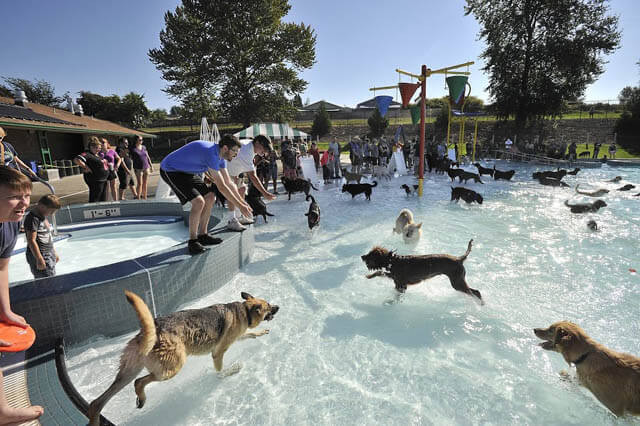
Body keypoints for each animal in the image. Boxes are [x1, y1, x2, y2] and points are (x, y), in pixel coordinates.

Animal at [89, 292, 278, 424]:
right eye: (269, 306)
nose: (278, 307)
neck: (244, 311)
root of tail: (150, 332)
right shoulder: (218, 352)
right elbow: (220, 373)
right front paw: (232, 371)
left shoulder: (237, 337)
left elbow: (251, 335)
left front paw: (261, 333)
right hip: (172, 367)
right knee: (139, 382)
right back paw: (142, 398)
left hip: (127, 372)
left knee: (97, 402)